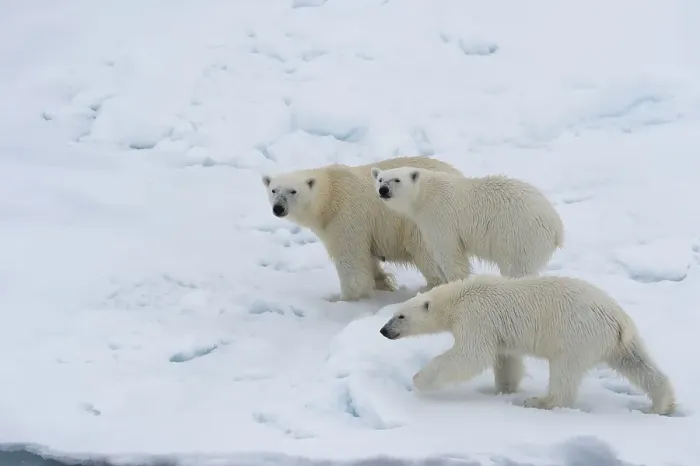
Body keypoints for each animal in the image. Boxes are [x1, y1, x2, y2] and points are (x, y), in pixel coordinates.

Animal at [261, 156, 462, 301]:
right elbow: (369, 259)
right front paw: (382, 283)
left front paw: (346, 300)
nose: (278, 208)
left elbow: (352, 263)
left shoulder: (346, 216)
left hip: (422, 221)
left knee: (427, 254)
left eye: (293, 191)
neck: (329, 197)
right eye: (274, 190)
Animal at [370, 166, 565, 281]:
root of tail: (557, 226)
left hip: (520, 235)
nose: (383, 190)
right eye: (380, 179)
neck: (424, 193)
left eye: (396, 180)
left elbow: (449, 254)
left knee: (517, 268)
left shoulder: (440, 215)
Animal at [379, 274, 677, 415]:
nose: (383, 331)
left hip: (575, 333)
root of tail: (617, 318)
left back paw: (540, 401)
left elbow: (470, 355)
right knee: (637, 363)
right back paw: (662, 404)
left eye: (400, 316)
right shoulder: (498, 332)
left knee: (564, 371)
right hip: (617, 340)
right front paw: (503, 389)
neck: (459, 297)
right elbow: (505, 358)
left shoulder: (476, 317)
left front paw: (419, 379)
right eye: (393, 314)